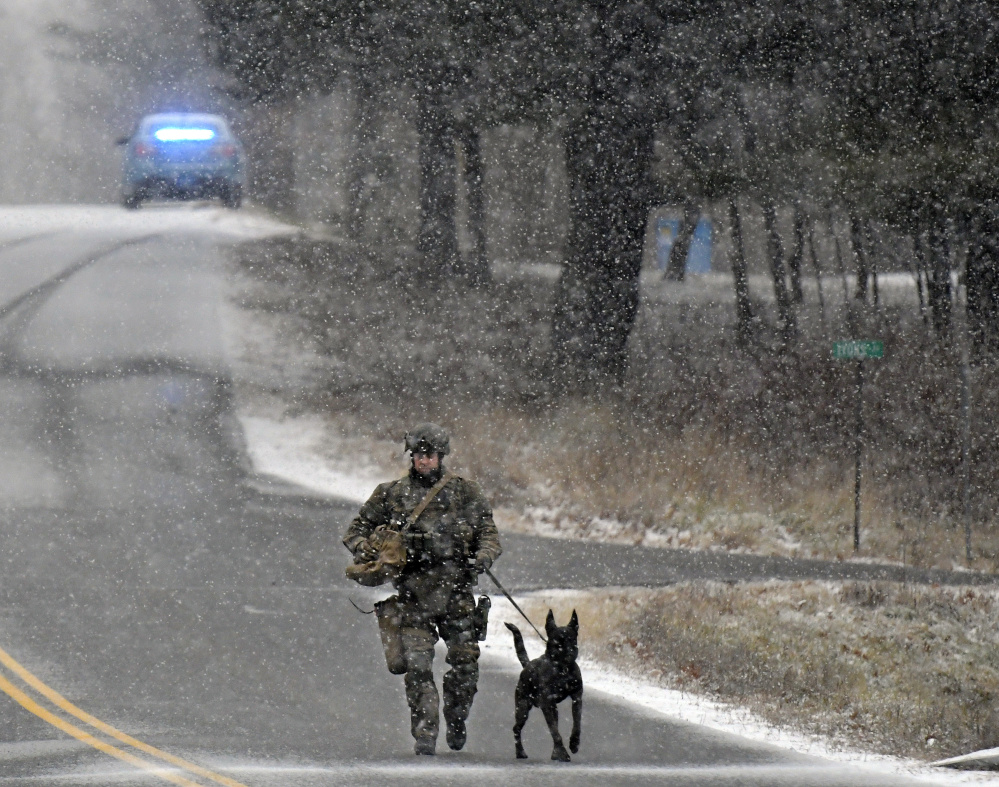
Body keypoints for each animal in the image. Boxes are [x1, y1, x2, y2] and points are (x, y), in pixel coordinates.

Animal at [505, 610, 583, 762]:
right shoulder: (547, 703)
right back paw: (520, 752)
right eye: (556, 641)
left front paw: (574, 743)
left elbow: (577, 723)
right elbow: (555, 732)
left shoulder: (577, 697)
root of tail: (527, 665)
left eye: (571, 639)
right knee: (516, 728)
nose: (568, 653)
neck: (562, 669)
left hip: (552, 708)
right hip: (523, 707)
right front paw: (563, 752)